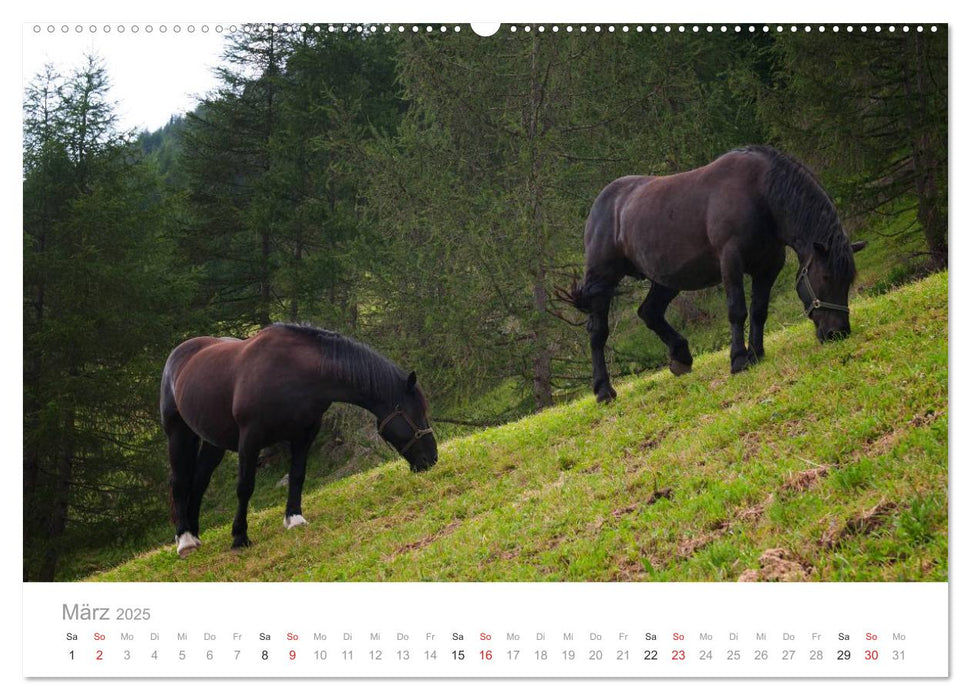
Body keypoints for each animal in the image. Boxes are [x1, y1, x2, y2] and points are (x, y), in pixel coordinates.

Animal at [160, 324, 436, 556]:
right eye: (416, 414)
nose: (432, 459)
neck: (294, 372)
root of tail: (179, 354)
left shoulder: (304, 434)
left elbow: (298, 475)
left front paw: (294, 518)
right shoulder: (250, 439)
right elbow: (245, 487)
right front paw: (239, 537)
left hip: (213, 442)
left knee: (199, 482)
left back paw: (194, 533)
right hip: (179, 433)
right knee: (180, 482)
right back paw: (185, 539)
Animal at [560, 145, 868, 402]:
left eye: (847, 281)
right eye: (826, 278)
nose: (837, 332)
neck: (759, 193)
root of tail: (602, 203)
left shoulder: (769, 266)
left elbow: (759, 311)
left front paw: (756, 353)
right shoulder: (730, 261)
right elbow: (737, 310)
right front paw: (739, 360)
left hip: (667, 279)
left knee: (650, 312)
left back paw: (681, 356)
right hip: (602, 279)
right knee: (598, 332)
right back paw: (603, 391)